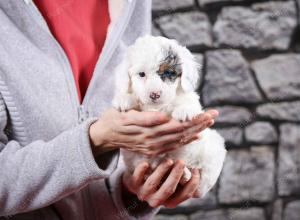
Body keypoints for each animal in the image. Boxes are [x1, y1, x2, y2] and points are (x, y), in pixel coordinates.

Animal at [113, 36, 227, 198]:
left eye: (168, 72)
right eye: (141, 74)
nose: (154, 94)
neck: (157, 107)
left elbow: (187, 100)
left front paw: (185, 111)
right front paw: (123, 100)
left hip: (213, 149)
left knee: (202, 183)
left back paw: (185, 175)